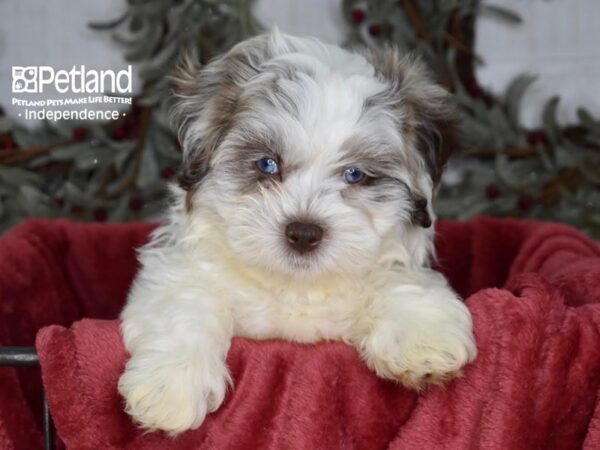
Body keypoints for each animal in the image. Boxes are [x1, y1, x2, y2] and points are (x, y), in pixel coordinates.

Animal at [119, 29, 478, 434]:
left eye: (355, 174)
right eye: (267, 164)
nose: (304, 233)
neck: (296, 286)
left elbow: (400, 281)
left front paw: (423, 342)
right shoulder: (178, 269)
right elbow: (183, 302)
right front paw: (172, 384)